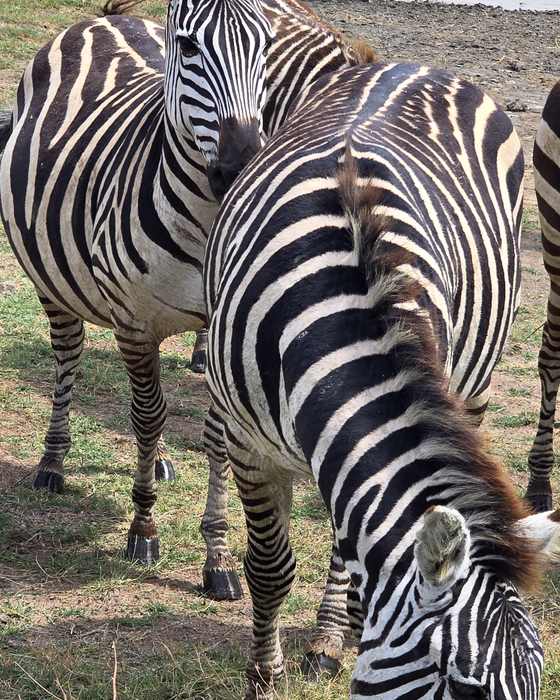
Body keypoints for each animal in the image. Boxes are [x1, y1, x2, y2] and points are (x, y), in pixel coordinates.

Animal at [204, 61, 560, 698]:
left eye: (541, 676)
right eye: (467, 687)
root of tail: (418, 66)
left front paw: (334, 636)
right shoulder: (248, 444)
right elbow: (269, 568)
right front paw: (264, 677)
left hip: (474, 385)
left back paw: (332, 634)